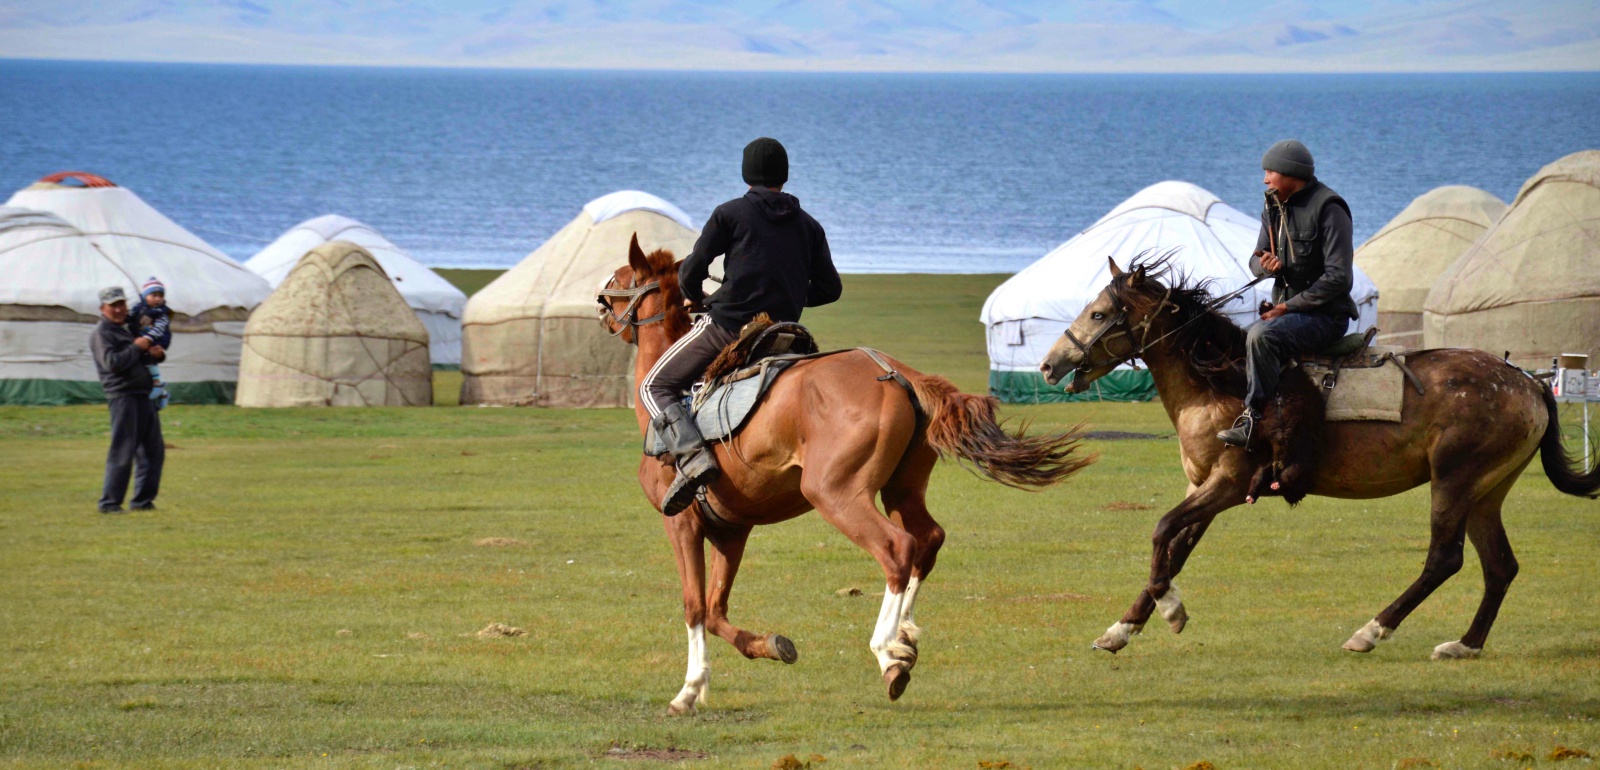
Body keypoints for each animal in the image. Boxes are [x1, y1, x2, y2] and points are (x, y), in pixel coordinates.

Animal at [597, 235, 1092, 714]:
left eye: (620, 277)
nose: (600, 304)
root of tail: (896, 373)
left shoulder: (682, 523)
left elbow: (695, 605)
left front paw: (689, 690)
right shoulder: (731, 530)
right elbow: (717, 610)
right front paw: (769, 646)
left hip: (836, 495)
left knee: (898, 549)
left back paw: (888, 651)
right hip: (901, 490)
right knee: (928, 540)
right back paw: (906, 634)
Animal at [1037, 255, 1600, 660]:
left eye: (1099, 313)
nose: (1048, 365)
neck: (1219, 382)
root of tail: (1527, 382)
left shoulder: (1226, 484)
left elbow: (1161, 532)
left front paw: (1172, 610)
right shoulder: (1203, 487)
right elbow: (1174, 549)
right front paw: (1120, 629)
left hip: (1454, 481)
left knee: (1445, 558)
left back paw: (1371, 631)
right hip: (1487, 492)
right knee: (1500, 565)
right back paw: (1465, 644)